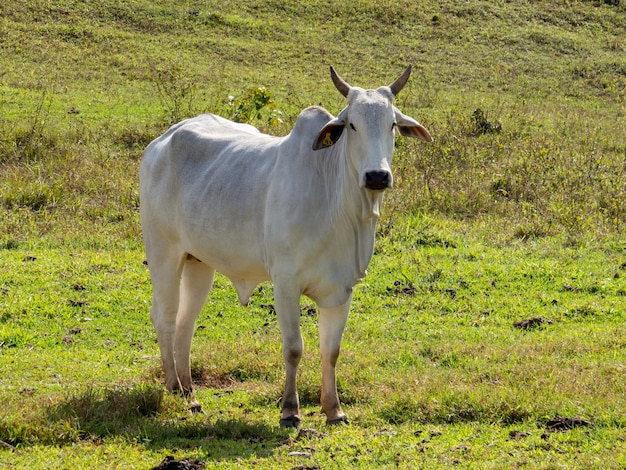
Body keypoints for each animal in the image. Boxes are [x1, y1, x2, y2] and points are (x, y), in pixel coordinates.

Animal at [139, 64, 432, 428]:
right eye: (352, 124)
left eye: (392, 123)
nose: (377, 176)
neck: (338, 206)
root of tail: (162, 140)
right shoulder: (286, 284)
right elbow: (294, 348)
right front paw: (290, 411)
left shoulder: (342, 289)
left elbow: (330, 351)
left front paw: (334, 410)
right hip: (163, 251)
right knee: (165, 316)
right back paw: (174, 388)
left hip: (199, 262)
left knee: (185, 322)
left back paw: (190, 393)